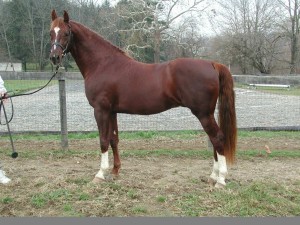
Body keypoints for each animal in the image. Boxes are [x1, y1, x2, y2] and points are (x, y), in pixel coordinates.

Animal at [49, 10, 237, 188]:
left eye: (66, 33)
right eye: (51, 32)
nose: (54, 57)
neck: (103, 64)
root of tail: (212, 64)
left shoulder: (100, 110)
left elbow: (103, 140)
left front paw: (100, 174)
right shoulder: (112, 111)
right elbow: (113, 139)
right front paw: (115, 171)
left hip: (204, 114)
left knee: (218, 138)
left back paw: (220, 180)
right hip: (206, 114)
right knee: (214, 140)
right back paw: (213, 176)